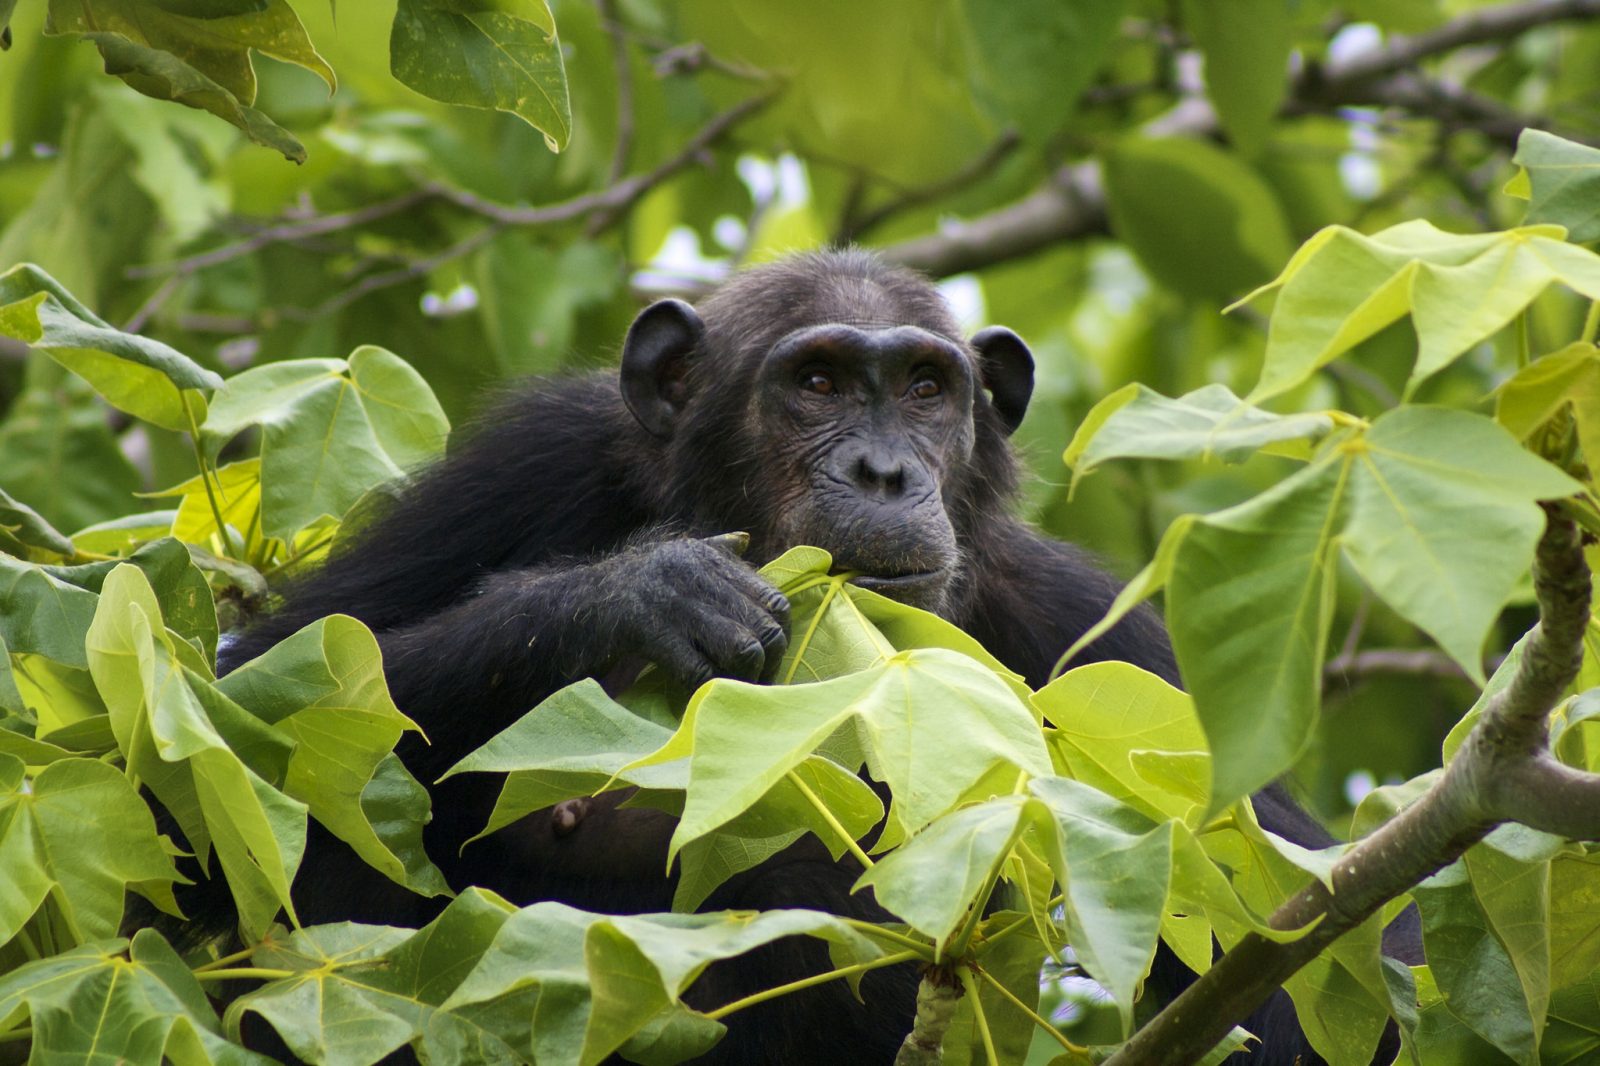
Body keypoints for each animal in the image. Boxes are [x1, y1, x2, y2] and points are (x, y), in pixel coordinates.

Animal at [190, 251, 1414, 1062]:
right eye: (818, 382)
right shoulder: (526, 464)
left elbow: (1317, 952)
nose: (883, 469)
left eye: (925, 388)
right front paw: (645, 592)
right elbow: (259, 701)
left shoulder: (1100, 640)